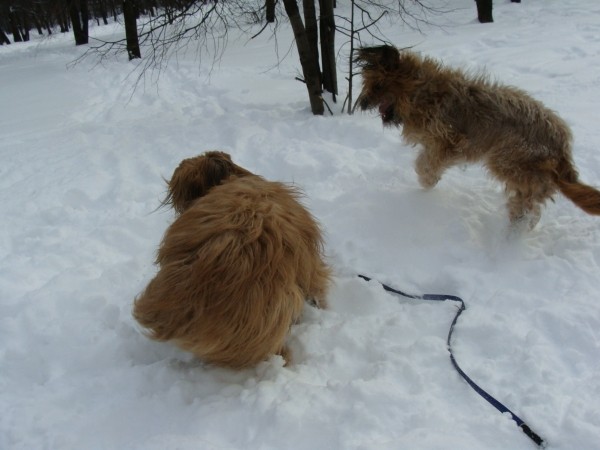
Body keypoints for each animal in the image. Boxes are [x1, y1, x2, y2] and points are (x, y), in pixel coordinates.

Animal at [354, 44, 600, 229]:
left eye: (378, 85)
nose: (362, 104)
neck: (421, 91)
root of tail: (562, 149)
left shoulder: (452, 140)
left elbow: (427, 163)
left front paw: (427, 180)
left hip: (507, 158)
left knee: (531, 193)